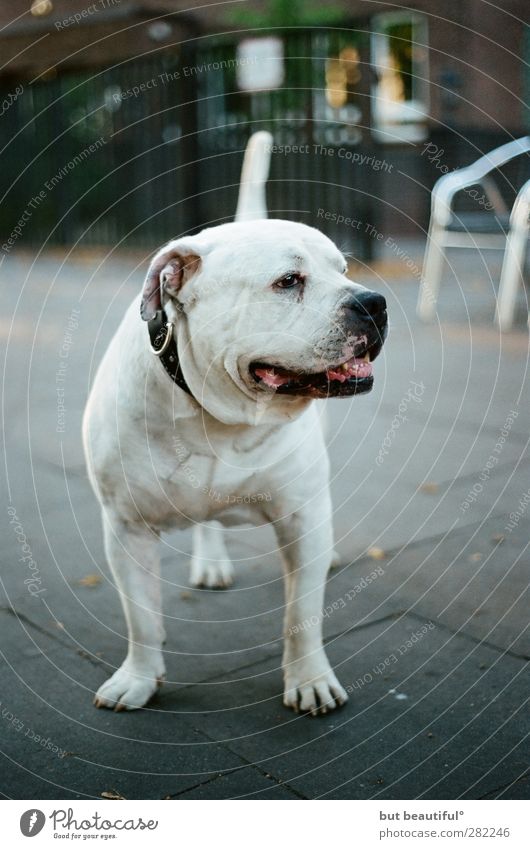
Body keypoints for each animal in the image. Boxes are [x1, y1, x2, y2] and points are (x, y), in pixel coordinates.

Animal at [83, 131, 388, 716]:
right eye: (288, 281)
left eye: (343, 270)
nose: (374, 301)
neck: (221, 416)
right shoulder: (125, 529)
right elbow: (141, 617)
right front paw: (138, 678)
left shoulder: (300, 516)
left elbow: (302, 614)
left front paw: (309, 679)